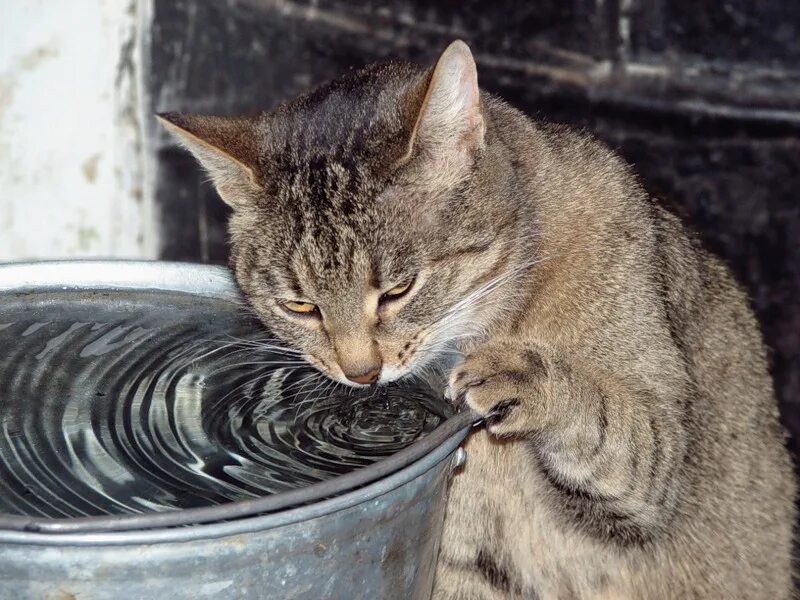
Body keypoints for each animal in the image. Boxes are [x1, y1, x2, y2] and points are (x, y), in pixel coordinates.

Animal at [159, 41, 796, 600]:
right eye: (301, 306)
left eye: (398, 290)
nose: (360, 373)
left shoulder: (655, 452)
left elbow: (605, 419)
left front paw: (529, 378)